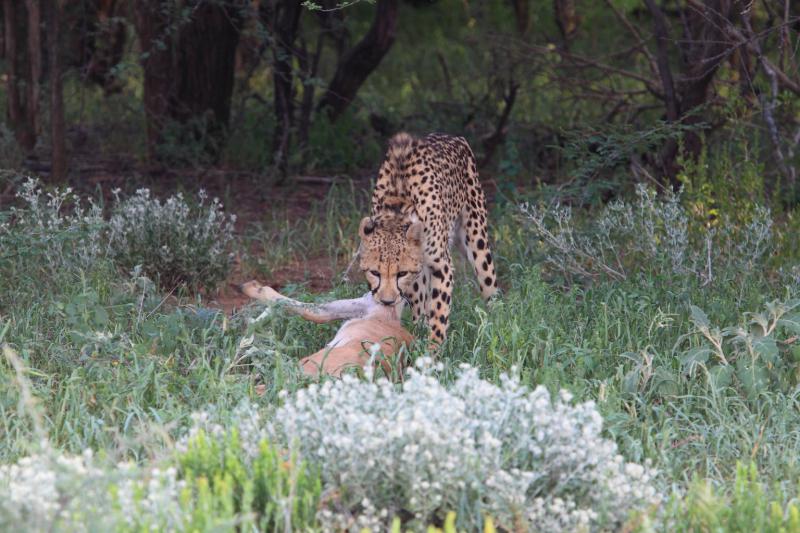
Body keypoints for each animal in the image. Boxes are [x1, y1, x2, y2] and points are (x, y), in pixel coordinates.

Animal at [360, 131, 496, 342]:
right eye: (374, 272)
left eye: (401, 273)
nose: (387, 301)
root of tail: (451, 135)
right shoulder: (416, 269)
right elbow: (419, 303)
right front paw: (419, 333)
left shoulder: (442, 265)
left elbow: (439, 311)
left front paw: (434, 347)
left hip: (477, 242)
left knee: (490, 286)